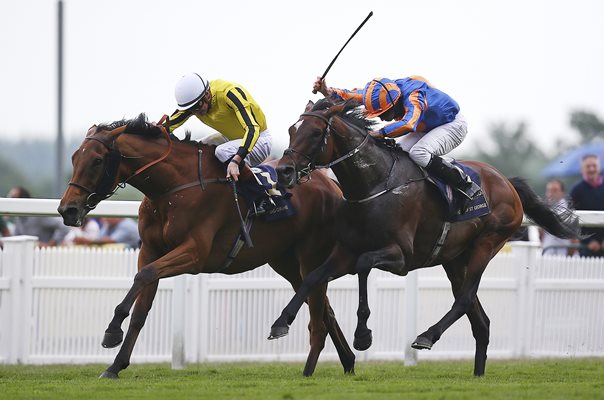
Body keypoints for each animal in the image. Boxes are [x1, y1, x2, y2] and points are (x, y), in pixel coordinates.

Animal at [57, 112, 356, 378]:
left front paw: (112, 330)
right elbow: (141, 306)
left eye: (97, 160)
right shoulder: (150, 250)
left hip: (310, 256)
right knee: (324, 307)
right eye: (73, 157)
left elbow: (144, 275)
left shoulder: (194, 253)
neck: (172, 188)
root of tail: (332, 185)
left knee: (318, 308)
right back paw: (348, 360)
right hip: (285, 262)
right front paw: (115, 366)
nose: (67, 210)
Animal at [268, 99, 580, 376]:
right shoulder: (344, 252)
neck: (374, 186)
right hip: (454, 259)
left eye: (316, 132)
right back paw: (477, 374)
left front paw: (363, 335)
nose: (283, 171)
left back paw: (427, 336)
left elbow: (364, 266)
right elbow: (312, 277)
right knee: (480, 320)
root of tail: (506, 181)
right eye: (292, 130)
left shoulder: (400, 257)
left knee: (465, 298)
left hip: (488, 243)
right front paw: (281, 322)